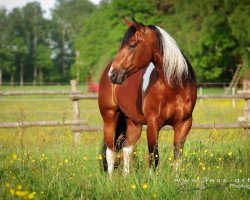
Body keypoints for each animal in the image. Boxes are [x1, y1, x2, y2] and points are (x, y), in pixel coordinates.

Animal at [98, 17, 197, 175]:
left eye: (132, 45)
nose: (113, 74)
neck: (174, 88)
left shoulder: (184, 123)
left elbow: (177, 156)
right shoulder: (153, 124)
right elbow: (153, 156)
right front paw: (152, 179)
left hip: (133, 122)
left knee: (127, 149)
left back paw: (126, 177)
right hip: (109, 117)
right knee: (110, 151)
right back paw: (110, 178)